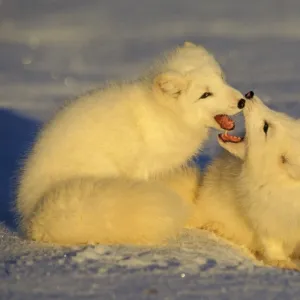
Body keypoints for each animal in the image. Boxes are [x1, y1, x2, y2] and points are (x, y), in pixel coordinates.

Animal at [16, 42, 245, 246]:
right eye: (205, 94)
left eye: (221, 79)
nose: (243, 101)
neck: (162, 113)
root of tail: (33, 215)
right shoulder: (141, 168)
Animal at [190, 91, 300, 270]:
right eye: (277, 114)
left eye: (265, 127)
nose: (249, 94)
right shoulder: (263, 214)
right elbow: (272, 243)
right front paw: (281, 262)